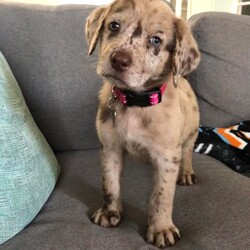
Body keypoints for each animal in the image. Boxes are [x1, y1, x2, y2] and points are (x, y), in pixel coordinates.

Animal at [85, 0, 200, 246]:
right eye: (114, 26)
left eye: (156, 40)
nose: (119, 60)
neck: (135, 102)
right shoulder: (110, 148)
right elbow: (110, 184)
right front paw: (109, 212)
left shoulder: (167, 157)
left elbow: (162, 195)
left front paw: (161, 228)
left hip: (191, 133)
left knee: (187, 153)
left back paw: (186, 173)